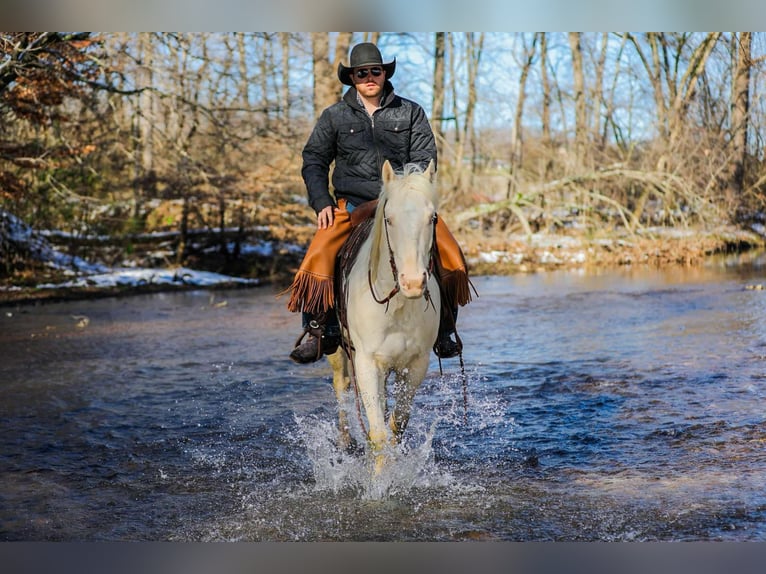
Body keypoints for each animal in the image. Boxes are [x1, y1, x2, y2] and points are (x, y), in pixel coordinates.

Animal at [328, 159, 441, 474]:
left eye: (432, 218)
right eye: (389, 219)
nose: (413, 282)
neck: (399, 304)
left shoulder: (414, 366)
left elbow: (396, 427)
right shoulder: (367, 363)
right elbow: (378, 435)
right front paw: (379, 482)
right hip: (338, 350)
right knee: (341, 385)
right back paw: (346, 443)